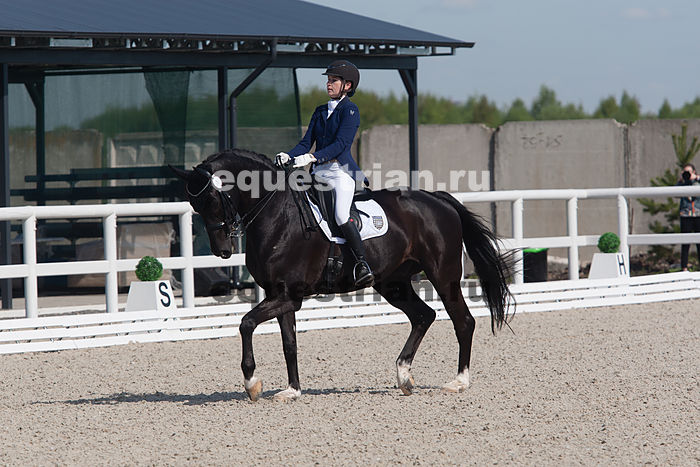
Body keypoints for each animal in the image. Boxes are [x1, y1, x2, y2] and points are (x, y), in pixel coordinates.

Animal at [171, 148, 514, 402]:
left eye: (213, 199)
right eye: (194, 204)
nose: (222, 250)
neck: (277, 215)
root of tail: (438, 199)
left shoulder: (288, 295)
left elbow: (246, 323)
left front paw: (252, 383)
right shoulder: (280, 295)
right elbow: (289, 343)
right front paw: (292, 391)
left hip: (443, 276)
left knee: (463, 321)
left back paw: (458, 382)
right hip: (394, 283)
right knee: (423, 315)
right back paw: (403, 376)